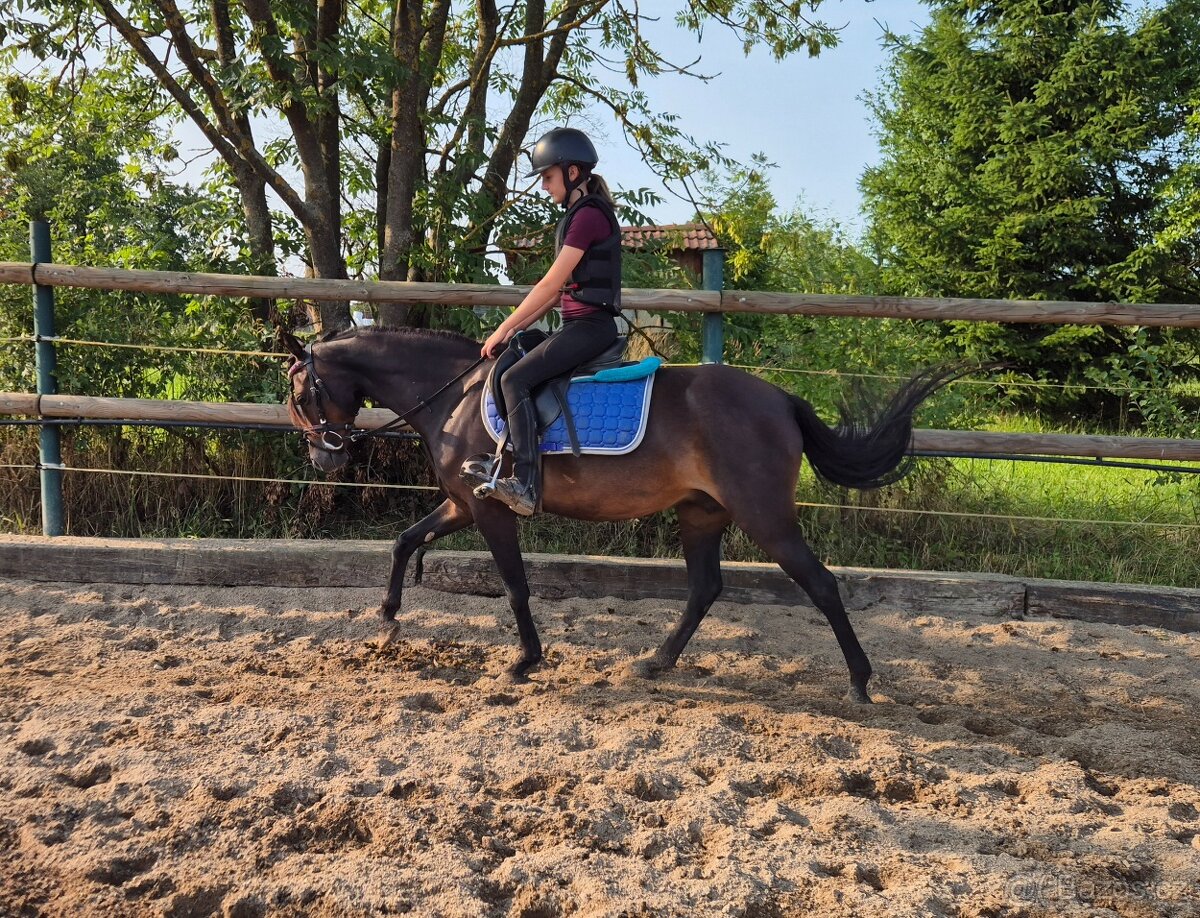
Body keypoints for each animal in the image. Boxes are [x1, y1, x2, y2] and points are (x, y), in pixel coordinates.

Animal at [282, 325, 969, 703]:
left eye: (300, 391)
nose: (322, 455)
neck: (455, 394)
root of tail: (780, 398)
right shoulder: (463, 501)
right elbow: (405, 540)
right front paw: (388, 618)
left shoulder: (489, 506)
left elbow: (515, 584)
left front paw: (525, 660)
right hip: (702, 514)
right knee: (705, 587)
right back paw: (658, 661)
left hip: (764, 516)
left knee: (821, 585)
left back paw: (859, 680)